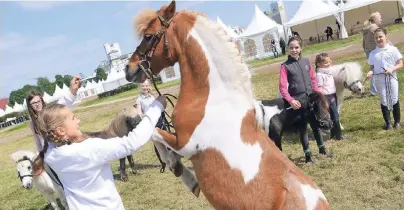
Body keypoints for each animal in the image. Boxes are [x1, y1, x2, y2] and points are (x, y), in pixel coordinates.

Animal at [125, 1, 332, 208]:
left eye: (148, 36)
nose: (129, 68)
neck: (214, 100)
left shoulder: (185, 143)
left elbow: (152, 133)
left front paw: (182, 173)